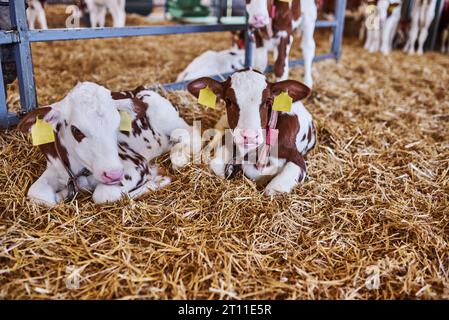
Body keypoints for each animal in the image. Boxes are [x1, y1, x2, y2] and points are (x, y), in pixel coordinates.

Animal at [18, 82, 200, 206]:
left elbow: (102, 195)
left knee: (191, 133)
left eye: (117, 124)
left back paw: (179, 156)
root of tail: (140, 88)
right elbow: (38, 194)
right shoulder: (55, 167)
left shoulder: (136, 164)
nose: (113, 174)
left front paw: (157, 179)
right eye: (76, 130)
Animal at [186, 68, 316, 195]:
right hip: (223, 123)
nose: (250, 136)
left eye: (268, 101)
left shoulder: (297, 159)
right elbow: (217, 165)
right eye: (228, 100)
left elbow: (271, 189)